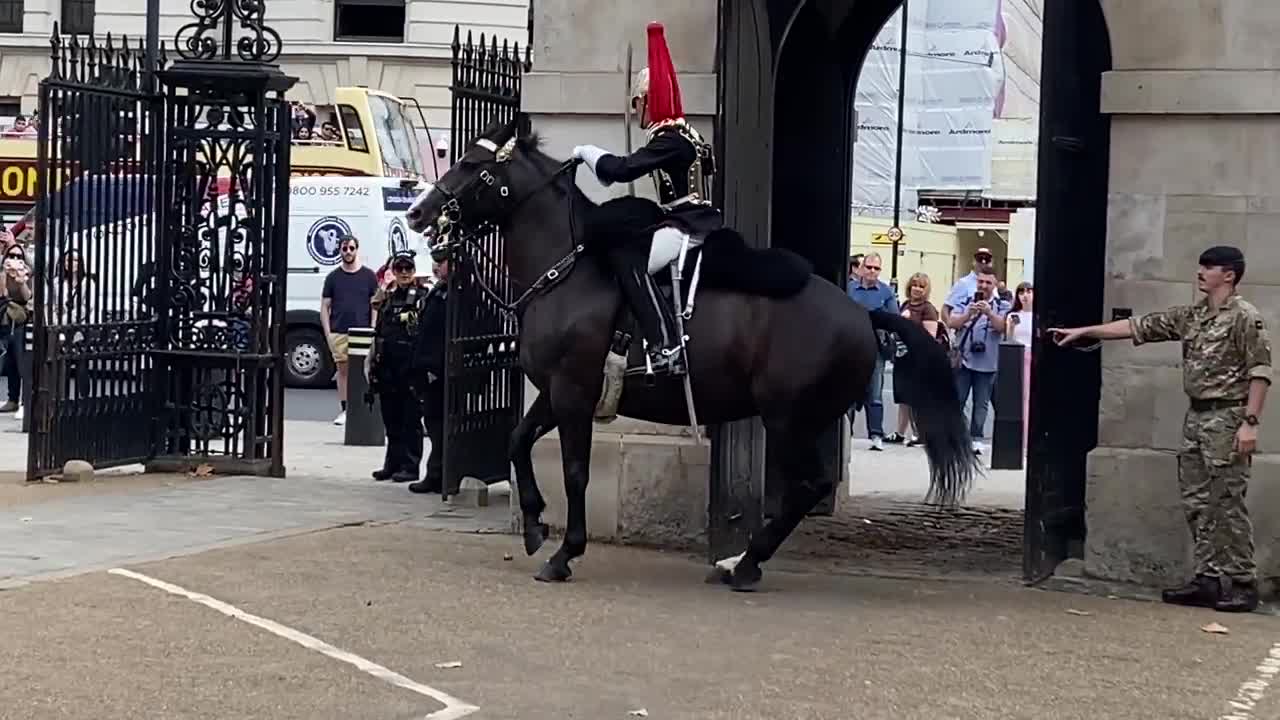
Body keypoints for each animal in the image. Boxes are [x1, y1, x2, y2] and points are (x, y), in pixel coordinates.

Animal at [409, 114, 977, 589]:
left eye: (472, 165)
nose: (418, 213)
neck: (567, 269)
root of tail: (862, 314)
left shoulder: (572, 392)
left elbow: (575, 471)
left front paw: (564, 552)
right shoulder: (557, 392)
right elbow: (517, 442)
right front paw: (532, 525)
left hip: (789, 417)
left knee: (808, 485)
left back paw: (745, 563)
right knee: (805, 487)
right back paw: (739, 561)